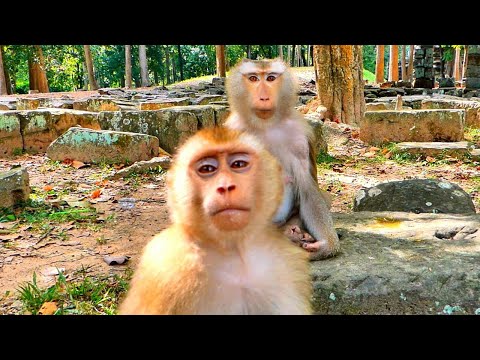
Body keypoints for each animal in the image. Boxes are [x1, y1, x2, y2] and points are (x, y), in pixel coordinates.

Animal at [120, 127, 312, 316]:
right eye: (207, 168)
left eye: (238, 164)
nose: (226, 186)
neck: (234, 252)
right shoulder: (164, 266)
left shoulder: (286, 263)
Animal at [226, 57, 342, 258]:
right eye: (254, 78)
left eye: (271, 78)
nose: (264, 97)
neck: (265, 125)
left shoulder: (299, 136)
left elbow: (307, 187)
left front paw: (326, 245)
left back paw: (294, 232)